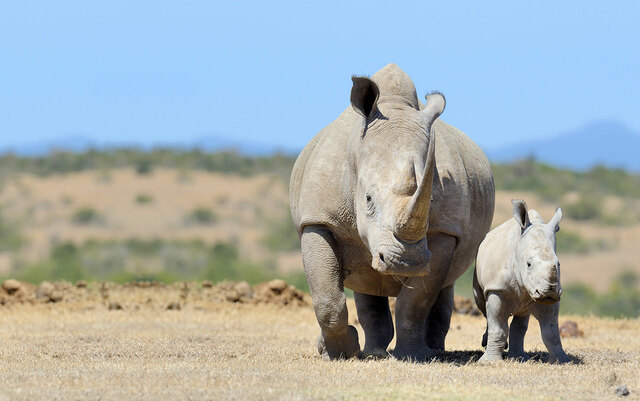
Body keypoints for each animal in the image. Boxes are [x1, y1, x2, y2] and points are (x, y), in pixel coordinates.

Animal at [289, 64, 495, 360]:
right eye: (367, 199)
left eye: (431, 198)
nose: (405, 262)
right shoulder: (318, 219)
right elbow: (327, 298)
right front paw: (339, 352)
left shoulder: (444, 231)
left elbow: (416, 301)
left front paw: (415, 356)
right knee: (367, 280)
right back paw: (372, 351)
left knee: (444, 285)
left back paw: (432, 350)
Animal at [473, 200, 571, 363]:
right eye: (529, 264)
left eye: (558, 264)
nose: (549, 290)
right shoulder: (497, 288)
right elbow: (497, 327)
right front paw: (489, 362)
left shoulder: (548, 297)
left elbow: (551, 331)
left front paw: (562, 360)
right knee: (484, 306)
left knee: (521, 316)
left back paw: (519, 357)